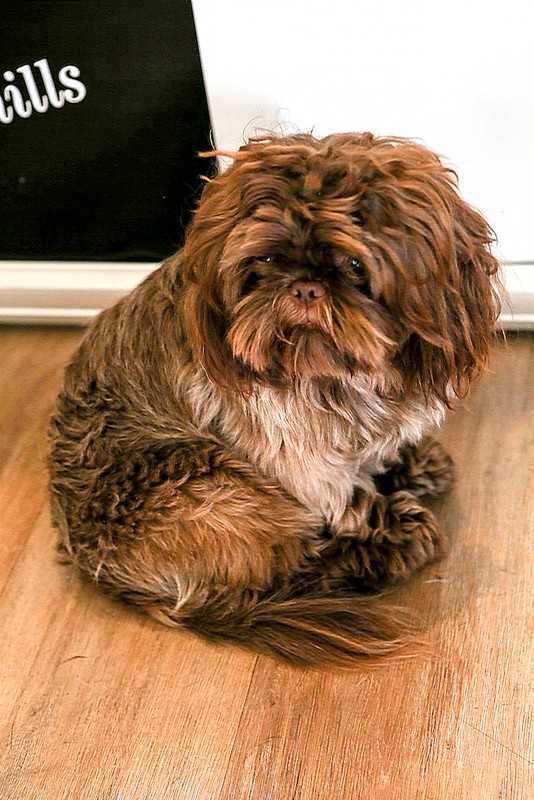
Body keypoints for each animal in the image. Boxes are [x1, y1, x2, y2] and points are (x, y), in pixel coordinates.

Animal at [48, 132, 501, 666]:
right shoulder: (293, 453)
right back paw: (377, 555)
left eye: (354, 264)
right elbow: (345, 497)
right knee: (283, 567)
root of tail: (95, 564)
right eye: (266, 260)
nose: (305, 288)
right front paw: (385, 521)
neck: (339, 374)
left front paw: (409, 462)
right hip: (215, 488)